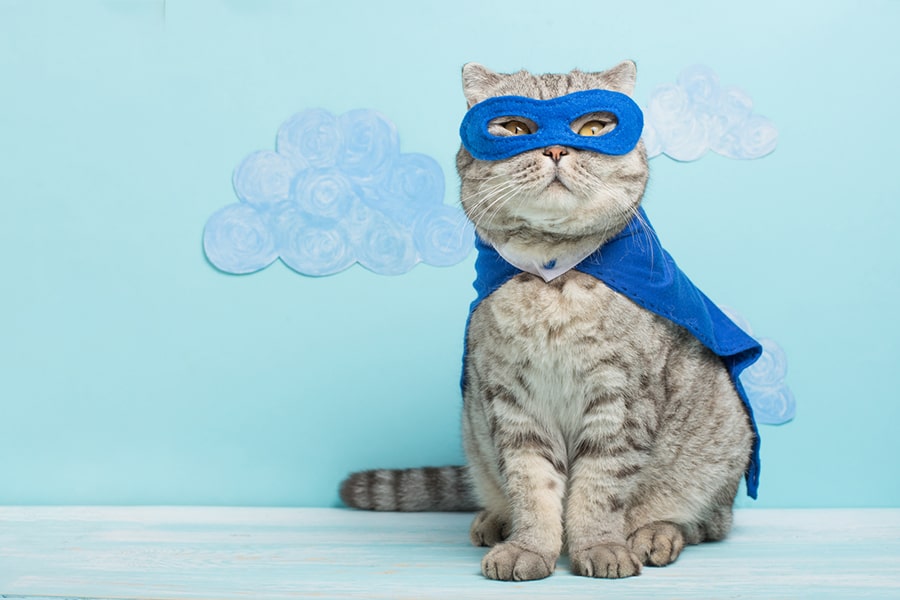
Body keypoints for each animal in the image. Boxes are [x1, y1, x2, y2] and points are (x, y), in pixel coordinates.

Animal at [342, 62, 756, 580]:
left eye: (595, 128)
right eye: (514, 128)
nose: (557, 149)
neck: (552, 275)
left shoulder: (620, 402)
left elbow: (598, 489)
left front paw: (600, 546)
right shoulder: (512, 403)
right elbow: (532, 486)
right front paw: (530, 547)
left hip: (724, 446)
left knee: (705, 523)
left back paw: (654, 535)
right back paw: (493, 521)